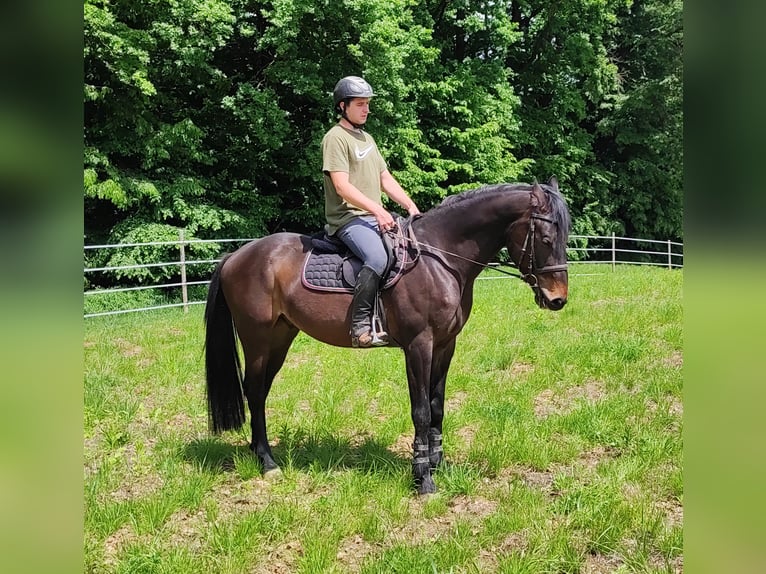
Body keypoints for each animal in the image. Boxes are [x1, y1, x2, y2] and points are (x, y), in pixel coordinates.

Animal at [204, 178, 568, 498]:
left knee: (260, 392)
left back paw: (258, 452)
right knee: (254, 391)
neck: (440, 260)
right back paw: (267, 462)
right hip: (257, 339)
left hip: (281, 337)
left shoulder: (445, 345)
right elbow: (421, 410)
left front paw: (437, 463)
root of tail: (236, 256)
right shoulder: (419, 346)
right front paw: (423, 479)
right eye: (546, 238)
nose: (558, 300)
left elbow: (437, 406)